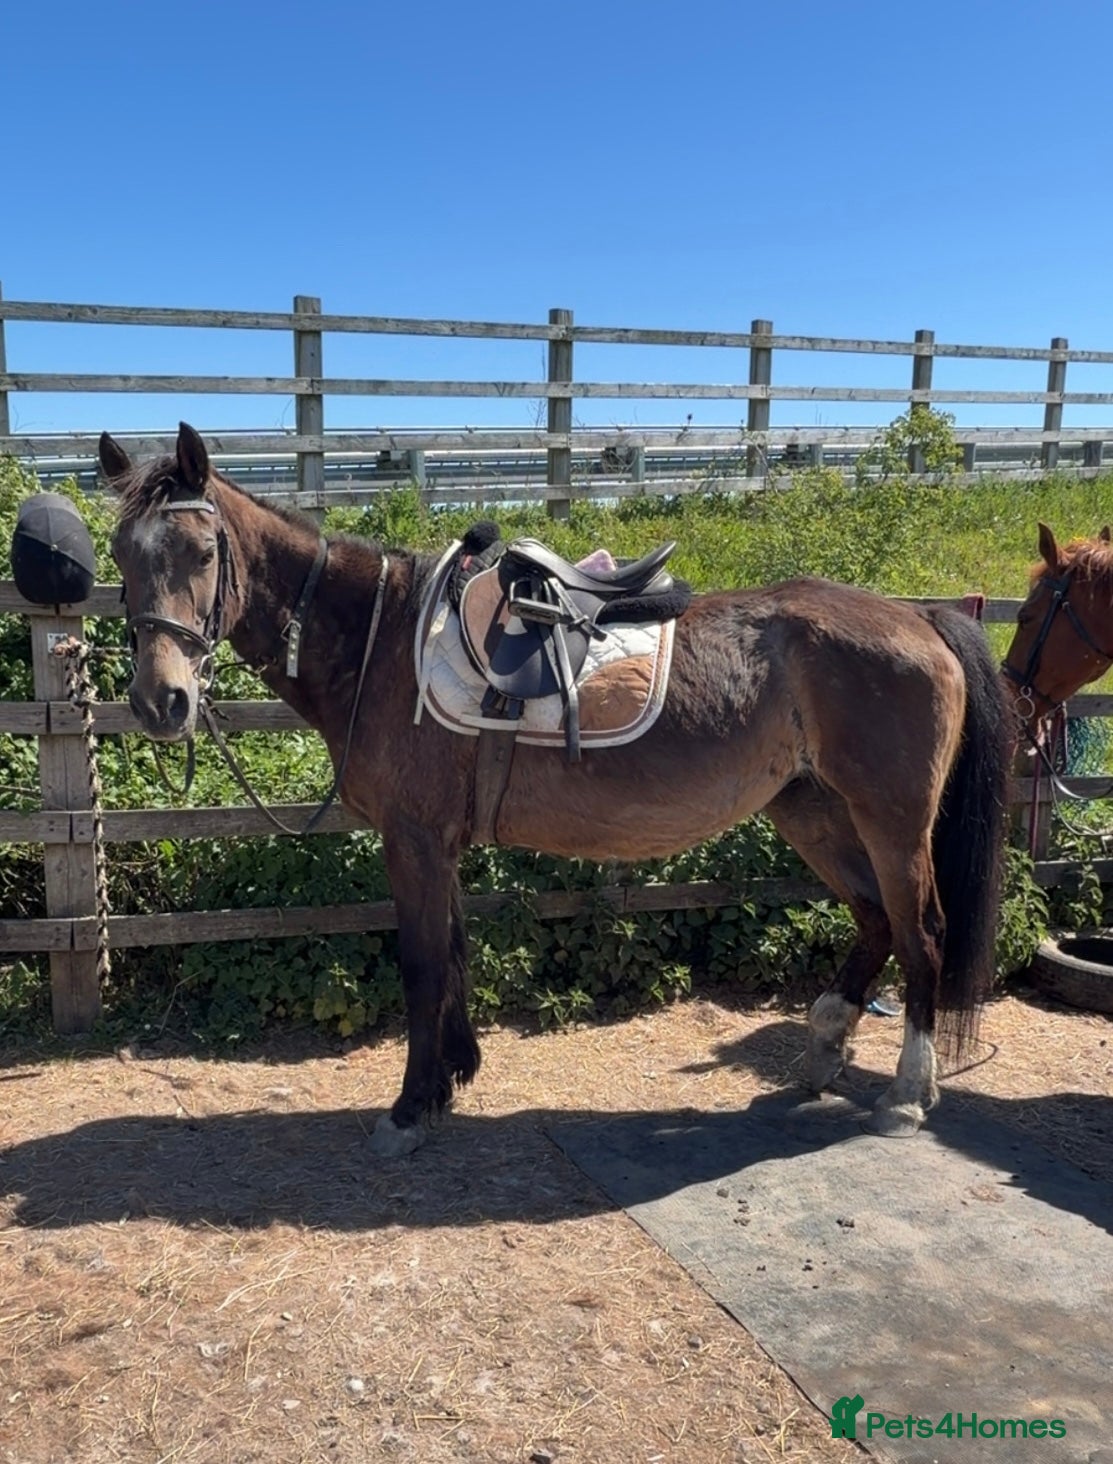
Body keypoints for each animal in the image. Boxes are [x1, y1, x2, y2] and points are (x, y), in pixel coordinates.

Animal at [99, 423, 1010, 1156]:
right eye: (120, 556)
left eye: (203, 553)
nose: (159, 700)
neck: (379, 641)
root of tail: (919, 617)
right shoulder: (438, 844)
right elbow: (453, 952)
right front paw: (453, 1076)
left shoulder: (413, 839)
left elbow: (422, 964)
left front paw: (409, 1108)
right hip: (811, 808)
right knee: (874, 920)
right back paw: (822, 1048)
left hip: (890, 819)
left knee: (920, 932)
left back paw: (905, 1095)